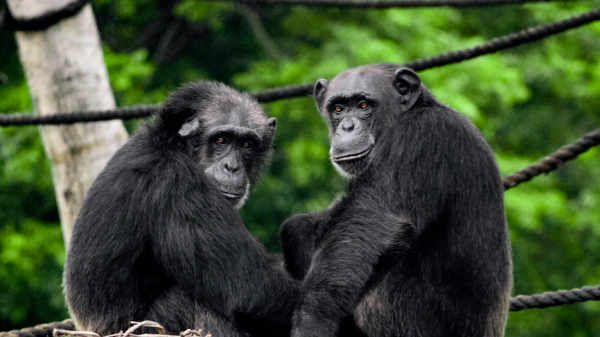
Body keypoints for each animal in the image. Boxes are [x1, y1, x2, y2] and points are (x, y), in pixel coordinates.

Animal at [62, 81, 300, 336]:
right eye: (222, 140)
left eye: (247, 145)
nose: (232, 166)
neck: (173, 146)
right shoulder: (179, 187)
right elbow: (251, 288)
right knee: (190, 301)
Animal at [280, 64, 510, 336]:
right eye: (338, 109)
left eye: (363, 105)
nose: (347, 127)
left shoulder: (421, 137)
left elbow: (370, 224)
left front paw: (312, 320)